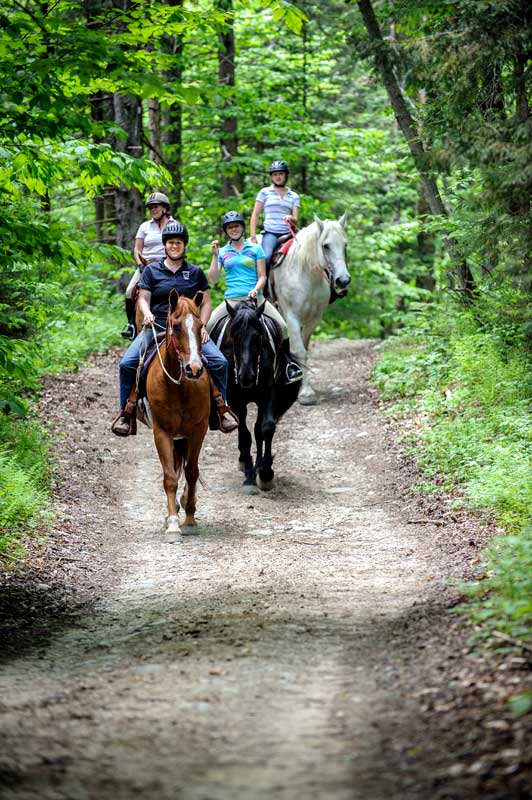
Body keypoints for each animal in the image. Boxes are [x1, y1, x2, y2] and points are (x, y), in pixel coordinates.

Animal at [145, 289, 210, 534]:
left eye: (201, 325)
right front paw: (173, 522)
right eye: (176, 326)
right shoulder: (162, 431)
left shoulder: (198, 430)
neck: (179, 386)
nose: (194, 369)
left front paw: (190, 517)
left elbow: (192, 472)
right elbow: (170, 477)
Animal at [217, 300, 300, 493]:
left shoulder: (267, 393)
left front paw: (265, 474)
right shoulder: (236, 399)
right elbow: (244, 434)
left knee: (258, 430)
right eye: (235, 337)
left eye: (258, 337)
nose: (246, 377)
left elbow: (266, 428)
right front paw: (249, 476)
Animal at [270, 214, 350, 405]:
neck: (307, 275)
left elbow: (304, 349)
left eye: (345, 245)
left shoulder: (314, 319)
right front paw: (306, 394)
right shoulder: (291, 316)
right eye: (326, 245)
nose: (343, 280)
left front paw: (302, 388)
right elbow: (299, 351)